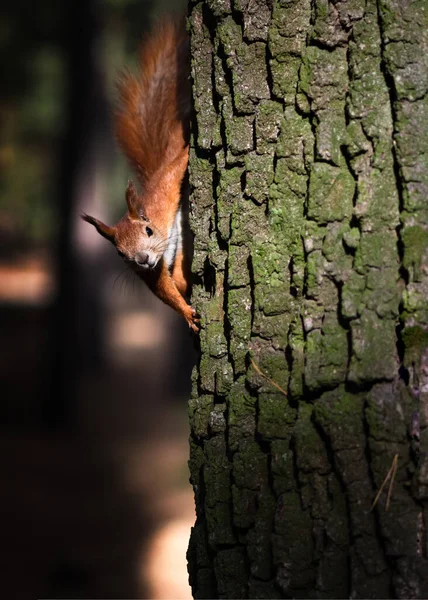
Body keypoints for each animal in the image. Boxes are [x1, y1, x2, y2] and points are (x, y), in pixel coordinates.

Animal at [82, 18, 199, 332]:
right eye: (120, 254)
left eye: (147, 230)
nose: (143, 259)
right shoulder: (150, 274)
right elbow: (163, 289)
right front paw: (186, 312)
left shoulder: (164, 195)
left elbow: (177, 168)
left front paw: (189, 150)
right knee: (178, 277)